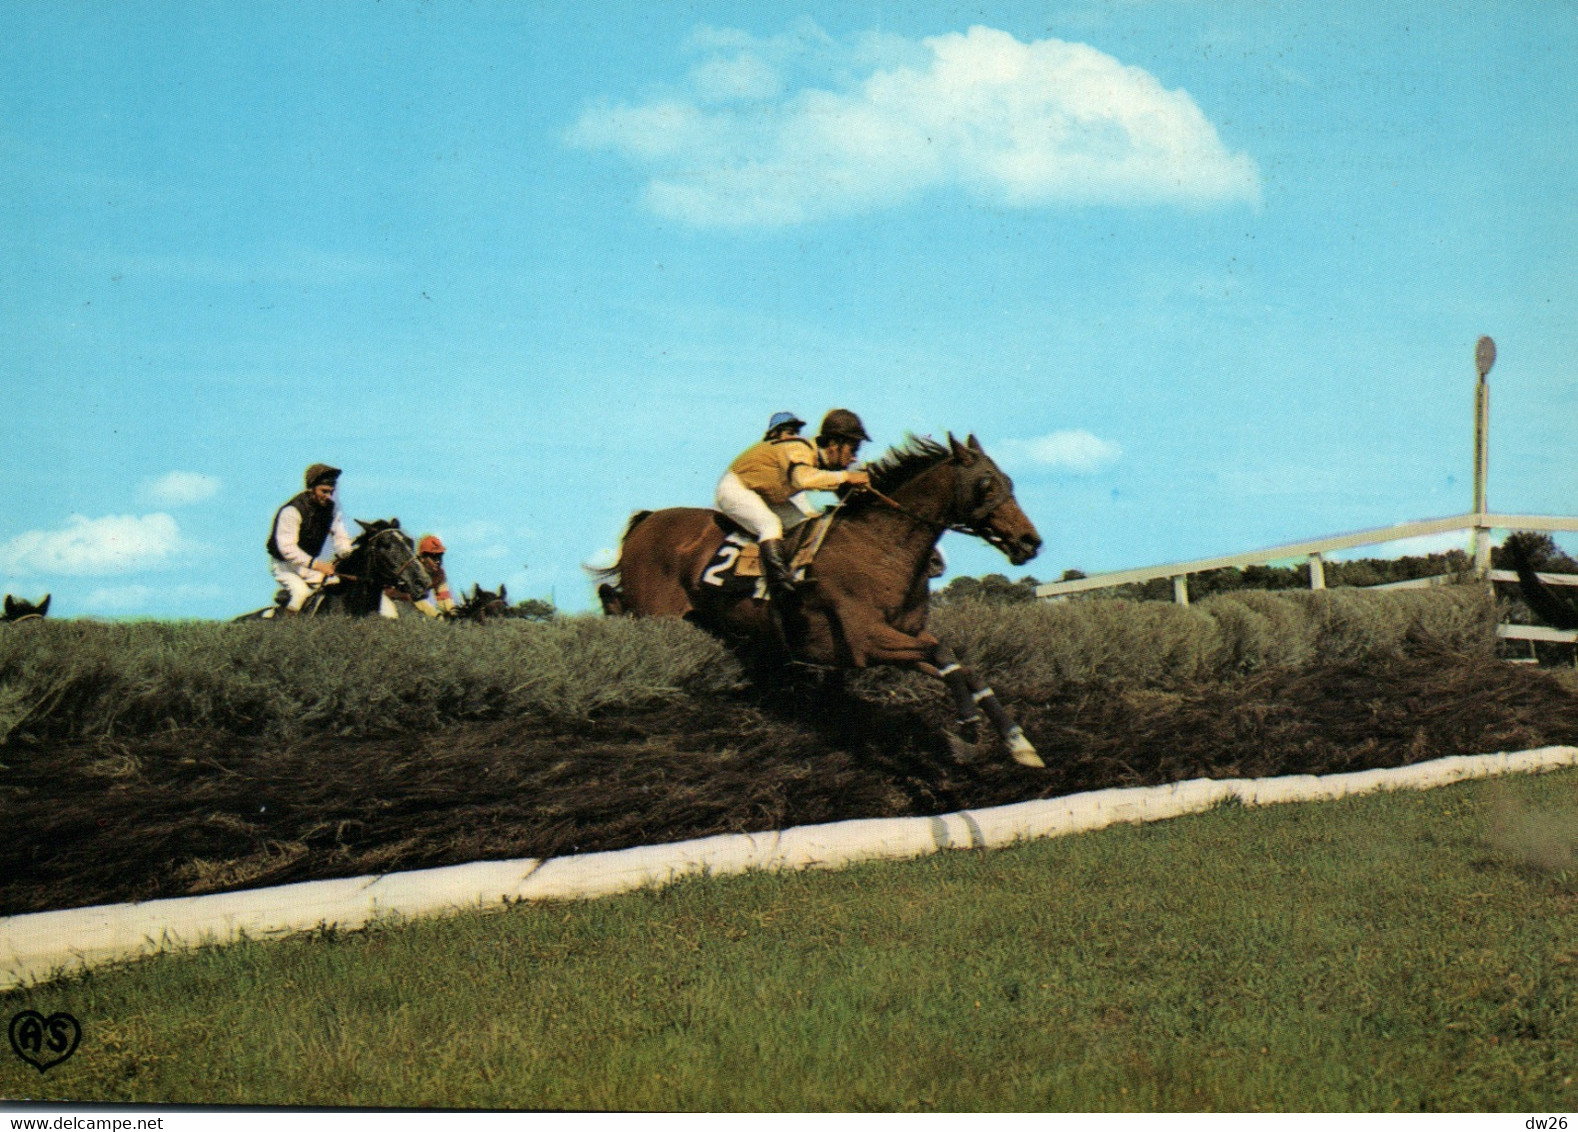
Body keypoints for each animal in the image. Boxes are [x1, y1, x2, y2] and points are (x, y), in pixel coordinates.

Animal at [593, 432, 1047, 767]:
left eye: (1009, 482)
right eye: (986, 484)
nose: (1031, 542)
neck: (880, 545)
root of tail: (646, 521)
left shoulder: (902, 638)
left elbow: (962, 666)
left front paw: (1019, 743)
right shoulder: (865, 642)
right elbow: (946, 657)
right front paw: (967, 731)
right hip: (656, 615)